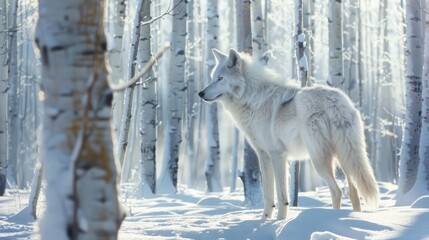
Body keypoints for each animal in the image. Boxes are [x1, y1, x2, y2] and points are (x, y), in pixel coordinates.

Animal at [197, 47, 378, 220]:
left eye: (220, 78)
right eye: (213, 78)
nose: (201, 93)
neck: (251, 98)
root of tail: (334, 101)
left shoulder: (275, 155)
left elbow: (279, 195)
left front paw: (276, 221)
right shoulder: (266, 155)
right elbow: (269, 195)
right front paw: (265, 220)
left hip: (319, 161)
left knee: (337, 190)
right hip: (344, 158)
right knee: (354, 193)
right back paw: (353, 217)